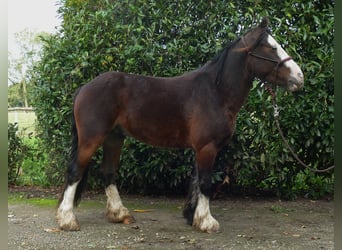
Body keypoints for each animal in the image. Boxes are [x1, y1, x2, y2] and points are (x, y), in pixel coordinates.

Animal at [56, 17, 304, 232]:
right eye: (270, 48)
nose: (299, 77)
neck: (216, 92)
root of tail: (84, 88)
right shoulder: (207, 147)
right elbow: (205, 182)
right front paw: (206, 222)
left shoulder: (201, 148)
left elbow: (195, 181)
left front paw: (192, 216)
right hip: (92, 138)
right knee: (75, 171)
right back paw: (68, 219)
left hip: (114, 138)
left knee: (108, 172)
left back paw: (119, 214)